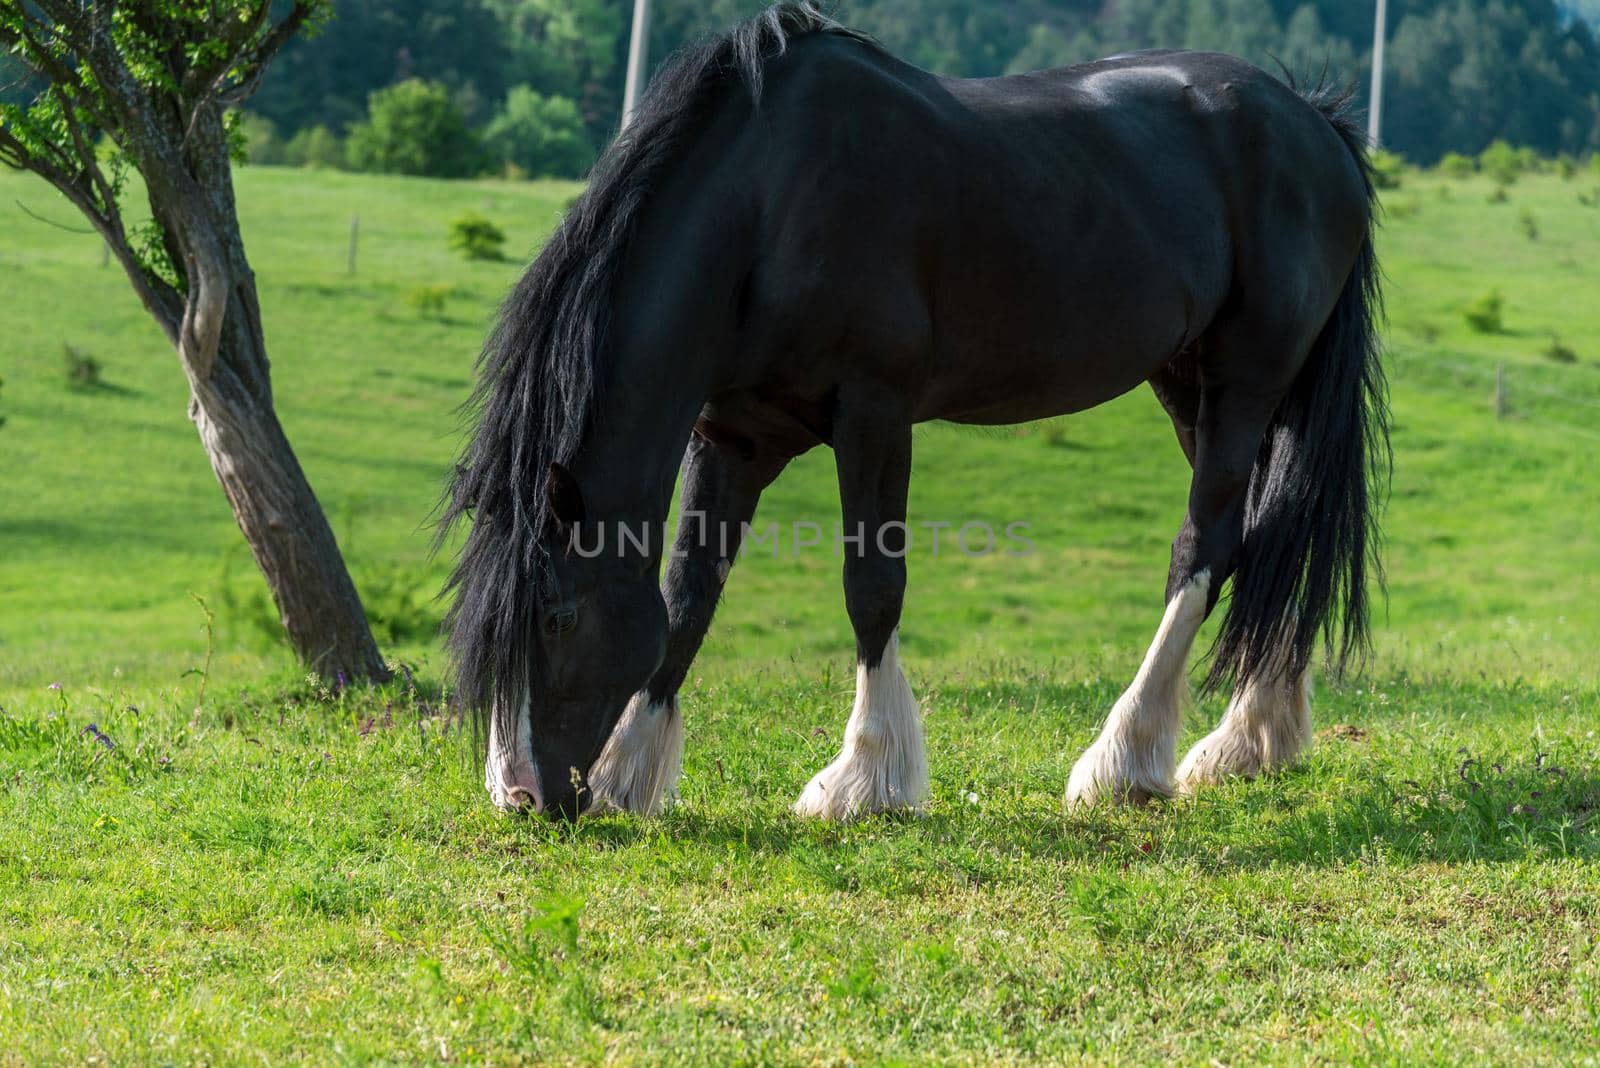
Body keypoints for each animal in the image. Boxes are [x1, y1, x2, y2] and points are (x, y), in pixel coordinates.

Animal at [438, 2, 1388, 818]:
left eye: (556, 615)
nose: (519, 796)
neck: (769, 206)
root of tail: (1316, 122)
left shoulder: (873, 415)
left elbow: (871, 585)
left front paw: (865, 778)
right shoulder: (733, 434)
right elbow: (689, 588)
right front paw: (628, 769)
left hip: (1247, 381)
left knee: (1207, 545)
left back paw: (1128, 759)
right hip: (1188, 383)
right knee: (1262, 536)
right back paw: (1252, 738)